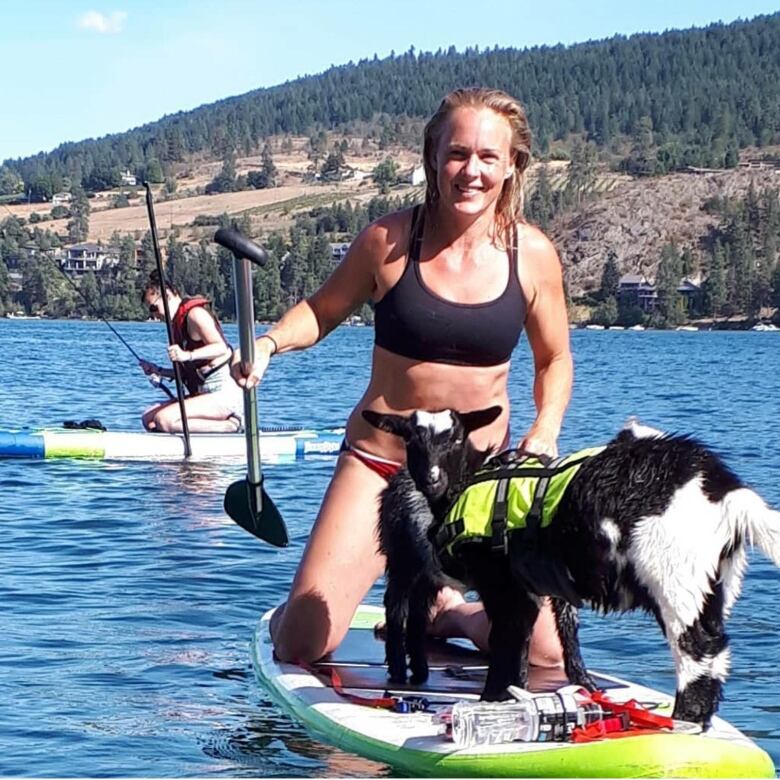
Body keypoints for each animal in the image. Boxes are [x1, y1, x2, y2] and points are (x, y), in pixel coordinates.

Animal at [364, 406, 780, 728]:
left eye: (454, 439)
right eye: (411, 441)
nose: (431, 480)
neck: (470, 483)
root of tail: (724, 490)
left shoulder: (502, 586)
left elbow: (504, 646)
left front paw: (490, 703)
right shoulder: (526, 591)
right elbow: (517, 648)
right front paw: (511, 699)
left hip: (674, 575)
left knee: (697, 651)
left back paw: (682, 721)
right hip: (715, 581)